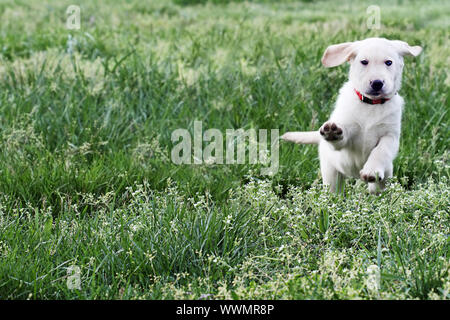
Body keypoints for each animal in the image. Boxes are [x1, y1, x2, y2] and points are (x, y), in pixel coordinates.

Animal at [282, 37, 422, 192]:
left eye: (388, 62)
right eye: (364, 62)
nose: (377, 83)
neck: (371, 104)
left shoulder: (390, 136)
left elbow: (381, 150)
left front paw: (372, 171)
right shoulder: (348, 132)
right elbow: (342, 139)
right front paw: (332, 133)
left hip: (386, 175)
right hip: (331, 173)